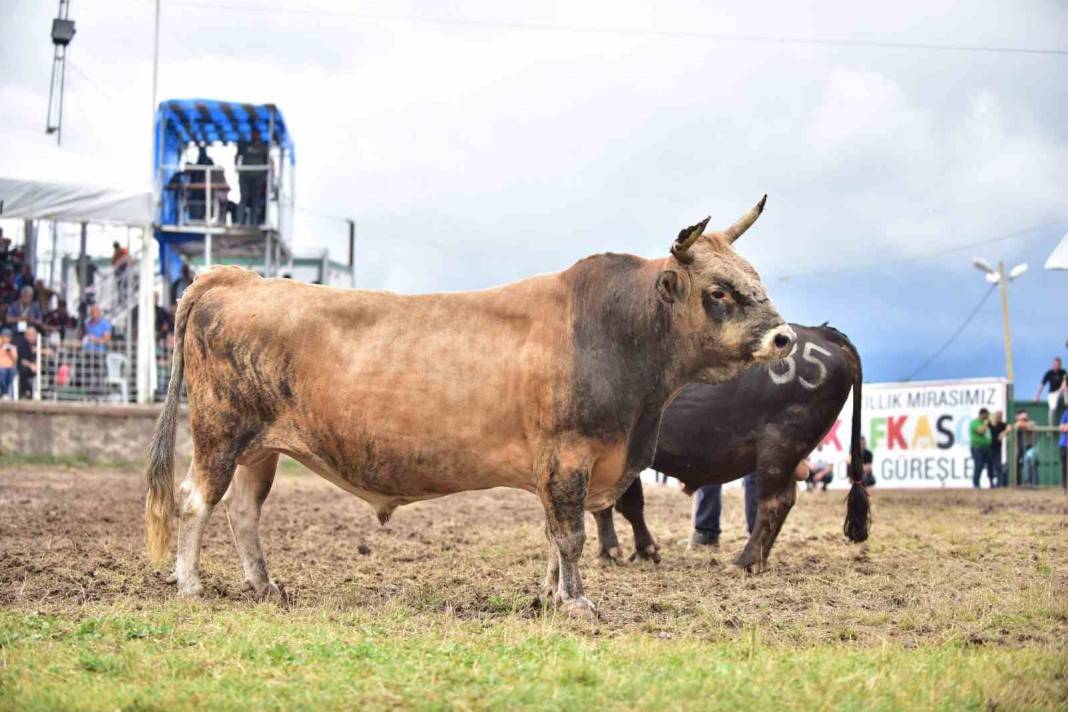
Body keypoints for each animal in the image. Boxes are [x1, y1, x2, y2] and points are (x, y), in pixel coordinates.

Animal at [144, 196, 794, 619]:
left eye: (755, 278)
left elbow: (555, 536)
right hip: (219, 433)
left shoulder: (564, 467)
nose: (784, 337)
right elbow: (571, 535)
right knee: (195, 500)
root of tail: (238, 278)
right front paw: (578, 602)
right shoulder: (568, 458)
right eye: (718, 291)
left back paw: (265, 586)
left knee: (244, 512)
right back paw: (190, 585)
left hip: (262, 448)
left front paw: (550, 596)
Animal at [593, 322, 867, 572]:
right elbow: (627, 504)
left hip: (779, 447)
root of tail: (820, 331)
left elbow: (615, 504)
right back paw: (759, 560)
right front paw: (640, 551)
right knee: (785, 501)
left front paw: (613, 552)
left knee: (773, 503)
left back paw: (744, 561)